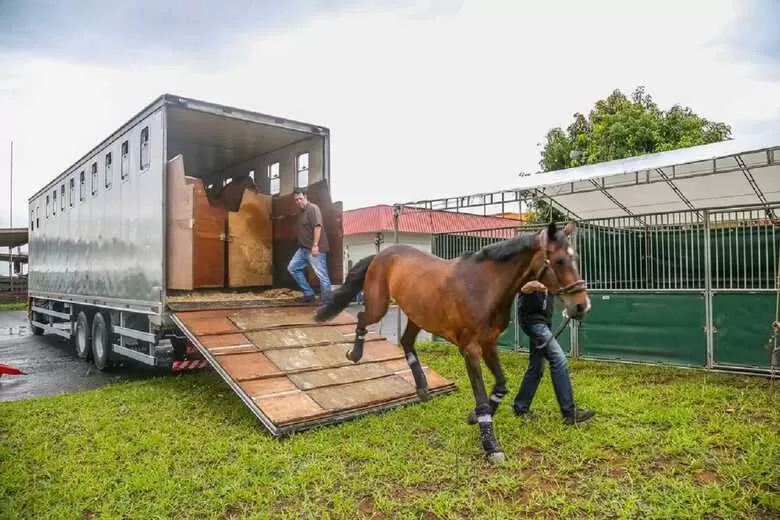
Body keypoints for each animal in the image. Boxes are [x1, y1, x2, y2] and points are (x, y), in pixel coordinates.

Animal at [314, 220, 590, 463]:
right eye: (559, 261)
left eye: (575, 258)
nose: (581, 306)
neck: (483, 287)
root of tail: (381, 254)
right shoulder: (470, 350)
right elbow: (482, 398)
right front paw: (491, 446)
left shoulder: (489, 344)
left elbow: (501, 385)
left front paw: (473, 418)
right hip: (378, 305)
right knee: (363, 319)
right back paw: (355, 354)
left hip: (417, 315)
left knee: (406, 342)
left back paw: (422, 387)